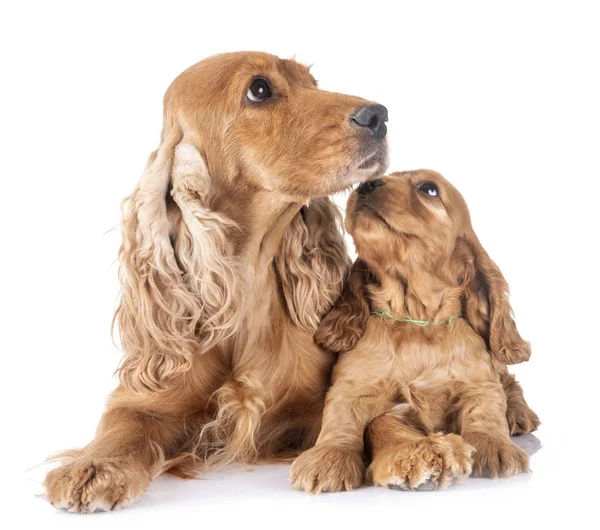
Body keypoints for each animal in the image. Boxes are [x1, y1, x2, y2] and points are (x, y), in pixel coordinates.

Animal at [42, 51, 390, 510]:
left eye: (312, 83)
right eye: (259, 89)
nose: (380, 115)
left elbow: (368, 413)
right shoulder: (144, 399)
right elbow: (122, 429)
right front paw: (95, 467)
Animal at [290, 170, 540, 490]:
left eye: (429, 189)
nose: (367, 183)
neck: (414, 320)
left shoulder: (479, 382)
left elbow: (486, 408)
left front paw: (494, 445)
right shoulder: (351, 387)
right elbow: (342, 418)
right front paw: (329, 458)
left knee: (508, 379)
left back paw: (520, 413)